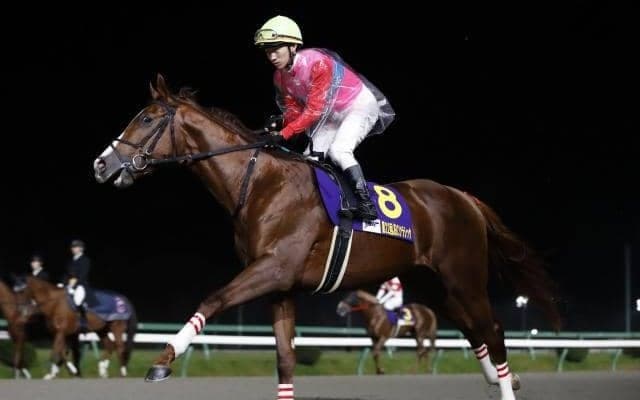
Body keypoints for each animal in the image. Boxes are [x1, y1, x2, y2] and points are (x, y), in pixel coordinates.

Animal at [93, 74, 560, 400]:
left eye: (146, 118)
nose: (100, 164)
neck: (261, 184)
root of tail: (463, 197)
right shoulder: (279, 285)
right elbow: (285, 360)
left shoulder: (274, 267)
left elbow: (213, 299)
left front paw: (163, 359)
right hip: (436, 286)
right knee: (473, 331)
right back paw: (501, 378)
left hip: (465, 278)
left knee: (492, 329)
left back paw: (505, 385)